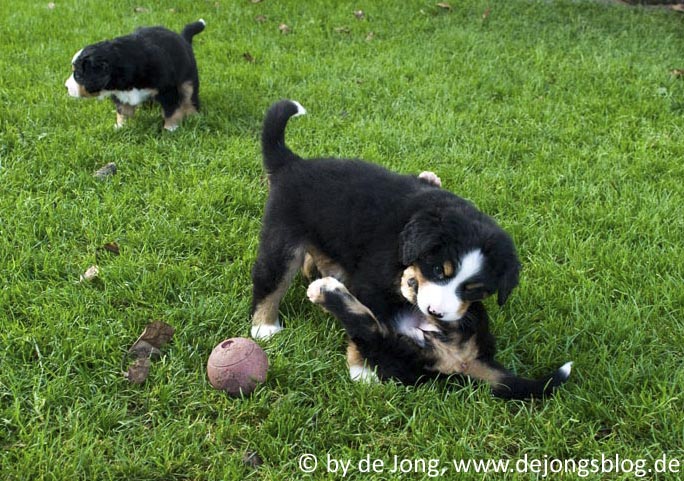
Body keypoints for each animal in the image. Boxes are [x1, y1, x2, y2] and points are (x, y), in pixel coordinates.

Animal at [66, 19, 206, 130]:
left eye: (78, 75)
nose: (66, 87)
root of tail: (182, 38)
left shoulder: (167, 89)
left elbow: (171, 110)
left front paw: (170, 128)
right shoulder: (120, 95)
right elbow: (122, 111)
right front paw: (121, 127)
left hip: (188, 79)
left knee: (190, 98)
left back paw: (194, 116)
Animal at [250, 99, 520, 376]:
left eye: (473, 290)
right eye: (437, 270)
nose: (435, 312)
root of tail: (292, 163)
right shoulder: (372, 281)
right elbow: (369, 325)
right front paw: (363, 371)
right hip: (283, 236)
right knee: (271, 279)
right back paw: (264, 327)